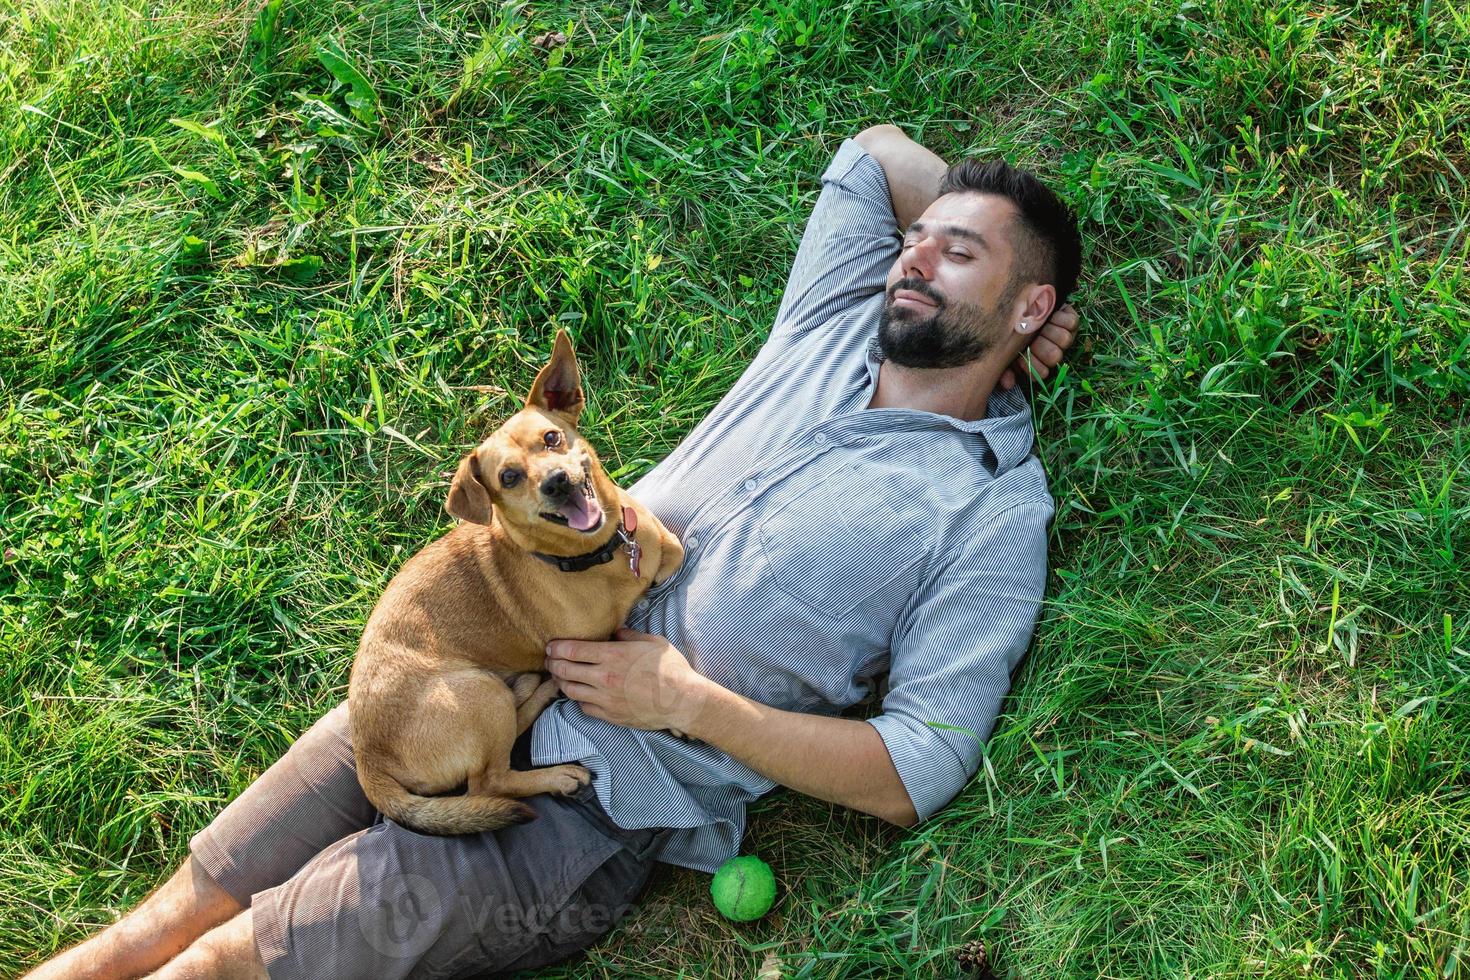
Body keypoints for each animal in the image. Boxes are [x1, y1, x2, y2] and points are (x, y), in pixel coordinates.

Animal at [348, 332, 682, 834]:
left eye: (552, 438)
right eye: (508, 477)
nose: (557, 482)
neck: (598, 557)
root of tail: (368, 760)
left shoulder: (658, 542)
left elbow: (673, 553)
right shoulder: (586, 645)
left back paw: (535, 689)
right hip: (479, 697)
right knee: (488, 781)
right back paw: (557, 773)